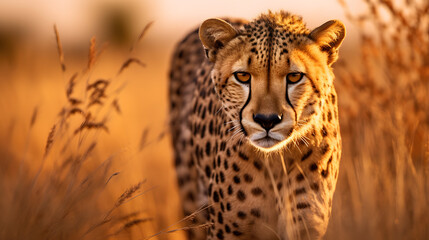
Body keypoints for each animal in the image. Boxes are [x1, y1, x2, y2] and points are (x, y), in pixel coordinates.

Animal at [167, 10, 344, 239]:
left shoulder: (305, 226)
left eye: (295, 76)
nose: (267, 120)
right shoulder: (227, 231)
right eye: (242, 76)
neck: (277, 161)